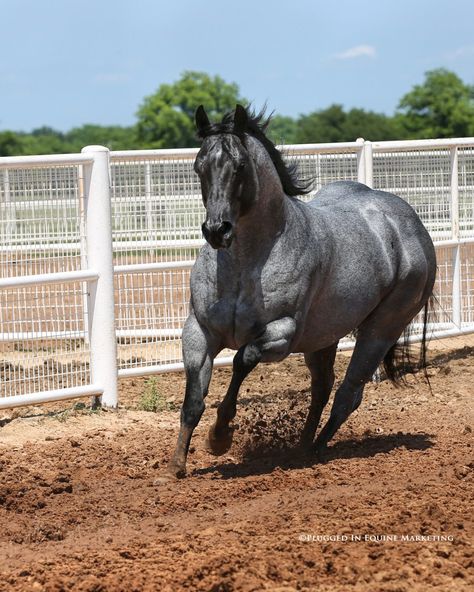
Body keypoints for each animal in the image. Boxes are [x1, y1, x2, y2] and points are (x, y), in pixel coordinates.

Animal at [165, 104, 436, 478]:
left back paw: (316, 449)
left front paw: (220, 436)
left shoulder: (282, 335)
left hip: (380, 331)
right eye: (199, 165)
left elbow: (242, 359)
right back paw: (301, 447)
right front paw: (177, 465)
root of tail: (412, 225)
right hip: (324, 338)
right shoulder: (199, 331)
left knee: (348, 393)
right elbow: (193, 400)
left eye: (240, 166)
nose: (217, 230)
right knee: (322, 387)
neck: (247, 264)